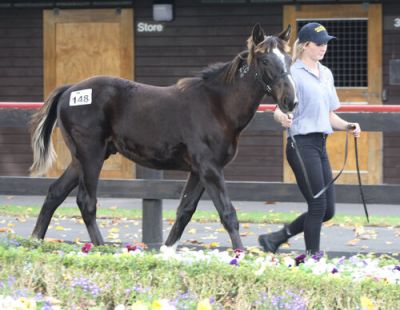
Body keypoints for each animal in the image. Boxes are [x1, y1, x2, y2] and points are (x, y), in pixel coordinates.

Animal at [29, 24, 296, 252]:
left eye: (289, 59)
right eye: (265, 60)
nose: (290, 101)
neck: (217, 105)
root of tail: (69, 91)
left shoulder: (200, 170)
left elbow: (185, 210)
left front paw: (166, 252)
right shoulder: (209, 168)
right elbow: (228, 213)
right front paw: (240, 255)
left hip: (83, 159)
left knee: (54, 193)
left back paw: (36, 242)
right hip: (90, 156)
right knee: (86, 201)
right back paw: (101, 248)